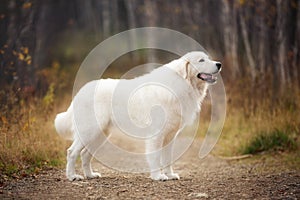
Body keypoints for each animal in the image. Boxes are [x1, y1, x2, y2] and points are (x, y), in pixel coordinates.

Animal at [55, 51, 221, 181]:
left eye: (208, 58)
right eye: (201, 60)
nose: (219, 64)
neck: (183, 84)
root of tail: (80, 92)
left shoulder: (170, 136)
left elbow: (167, 158)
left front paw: (170, 175)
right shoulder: (156, 135)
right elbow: (155, 157)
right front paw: (158, 177)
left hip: (100, 134)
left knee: (85, 154)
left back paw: (90, 175)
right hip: (90, 131)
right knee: (72, 152)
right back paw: (72, 176)